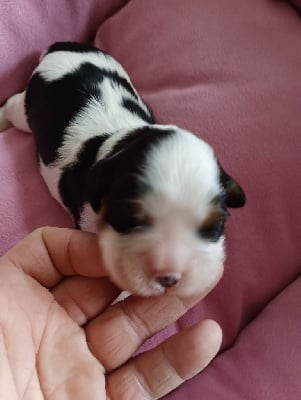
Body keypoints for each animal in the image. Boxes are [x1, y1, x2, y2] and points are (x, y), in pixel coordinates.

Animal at [0, 42, 245, 298]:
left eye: (214, 227)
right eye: (129, 218)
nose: (170, 276)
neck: (123, 138)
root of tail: (66, 46)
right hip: (27, 107)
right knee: (13, 105)